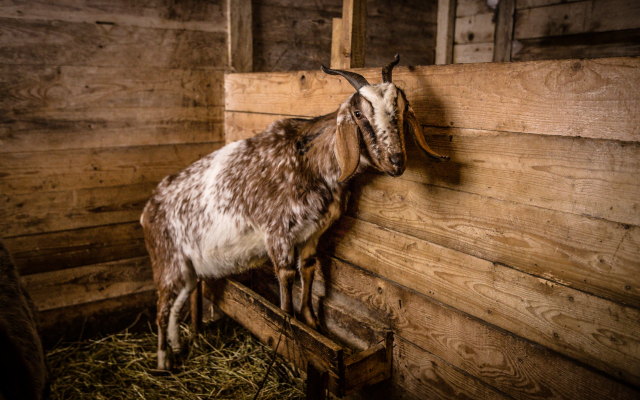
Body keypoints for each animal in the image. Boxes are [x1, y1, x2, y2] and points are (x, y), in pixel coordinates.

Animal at [142, 54, 448, 370]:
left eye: (402, 109)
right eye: (359, 114)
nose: (396, 161)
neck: (312, 162)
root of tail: (149, 207)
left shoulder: (313, 233)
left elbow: (309, 270)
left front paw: (312, 324)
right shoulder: (278, 234)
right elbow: (287, 279)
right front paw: (288, 329)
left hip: (189, 267)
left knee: (178, 302)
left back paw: (177, 347)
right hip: (166, 261)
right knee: (162, 308)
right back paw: (163, 362)